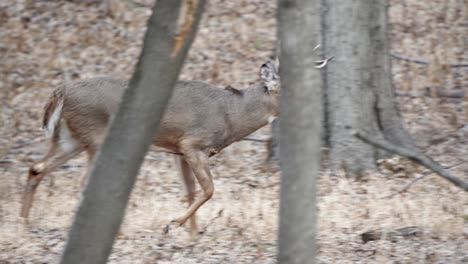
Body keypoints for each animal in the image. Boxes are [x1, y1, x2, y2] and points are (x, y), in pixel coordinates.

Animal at [20, 60, 280, 234]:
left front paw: (191, 235)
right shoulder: (193, 143)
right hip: (96, 136)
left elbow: (190, 190)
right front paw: (174, 224)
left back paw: (25, 221)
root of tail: (62, 90)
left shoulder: (179, 150)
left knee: (36, 167)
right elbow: (208, 189)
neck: (231, 116)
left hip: (70, 138)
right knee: (83, 182)